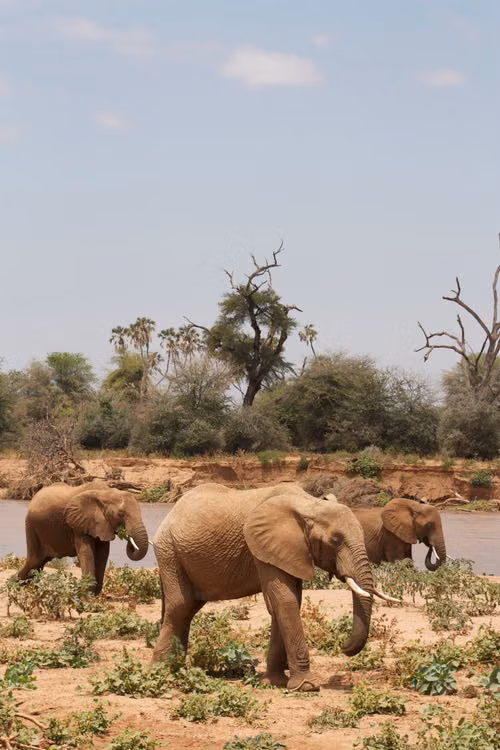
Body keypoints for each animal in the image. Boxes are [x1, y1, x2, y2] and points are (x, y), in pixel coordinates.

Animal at [17, 480, 149, 594]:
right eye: (121, 514)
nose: (127, 534)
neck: (106, 493)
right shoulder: (79, 523)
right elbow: (87, 552)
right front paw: (87, 595)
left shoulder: (101, 524)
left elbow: (103, 553)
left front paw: (93, 594)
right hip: (31, 526)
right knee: (35, 561)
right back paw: (15, 585)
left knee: (38, 563)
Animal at [152, 482, 395, 692]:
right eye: (335, 541)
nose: (343, 647)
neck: (308, 505)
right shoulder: (262, 547)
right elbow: (284, 600)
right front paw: (306, 686)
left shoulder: (289, 550)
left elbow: (289, 601)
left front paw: (275, 681)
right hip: (169, 551)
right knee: (180, 606)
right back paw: (163, 671)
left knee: (189, 608)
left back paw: (177, 667)